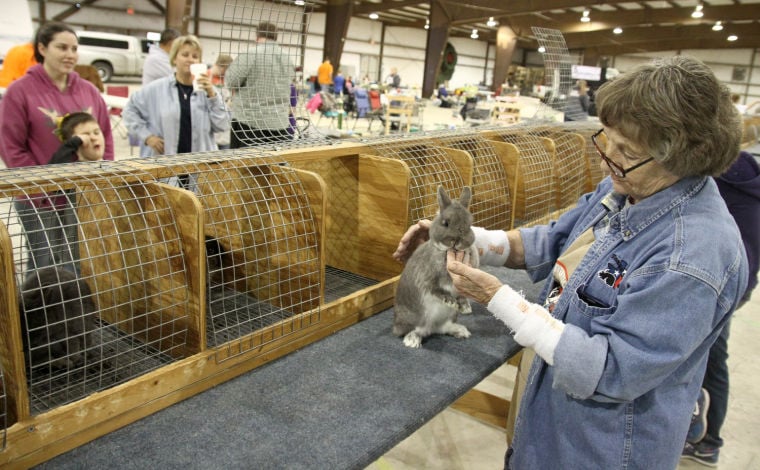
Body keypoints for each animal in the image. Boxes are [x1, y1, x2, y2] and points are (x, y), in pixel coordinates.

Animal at [394, 185, 478, 346]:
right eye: (445, 223)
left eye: (469, 225)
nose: (456, 241)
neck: (448, 252)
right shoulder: (427, 279)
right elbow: (436, 290)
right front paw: (450, 301)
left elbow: (461, 294)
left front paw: (465, 307)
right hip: (416, 317)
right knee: (416, 330)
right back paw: (412, 340)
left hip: (447, 318)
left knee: (442, 328)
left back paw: (461, 331)